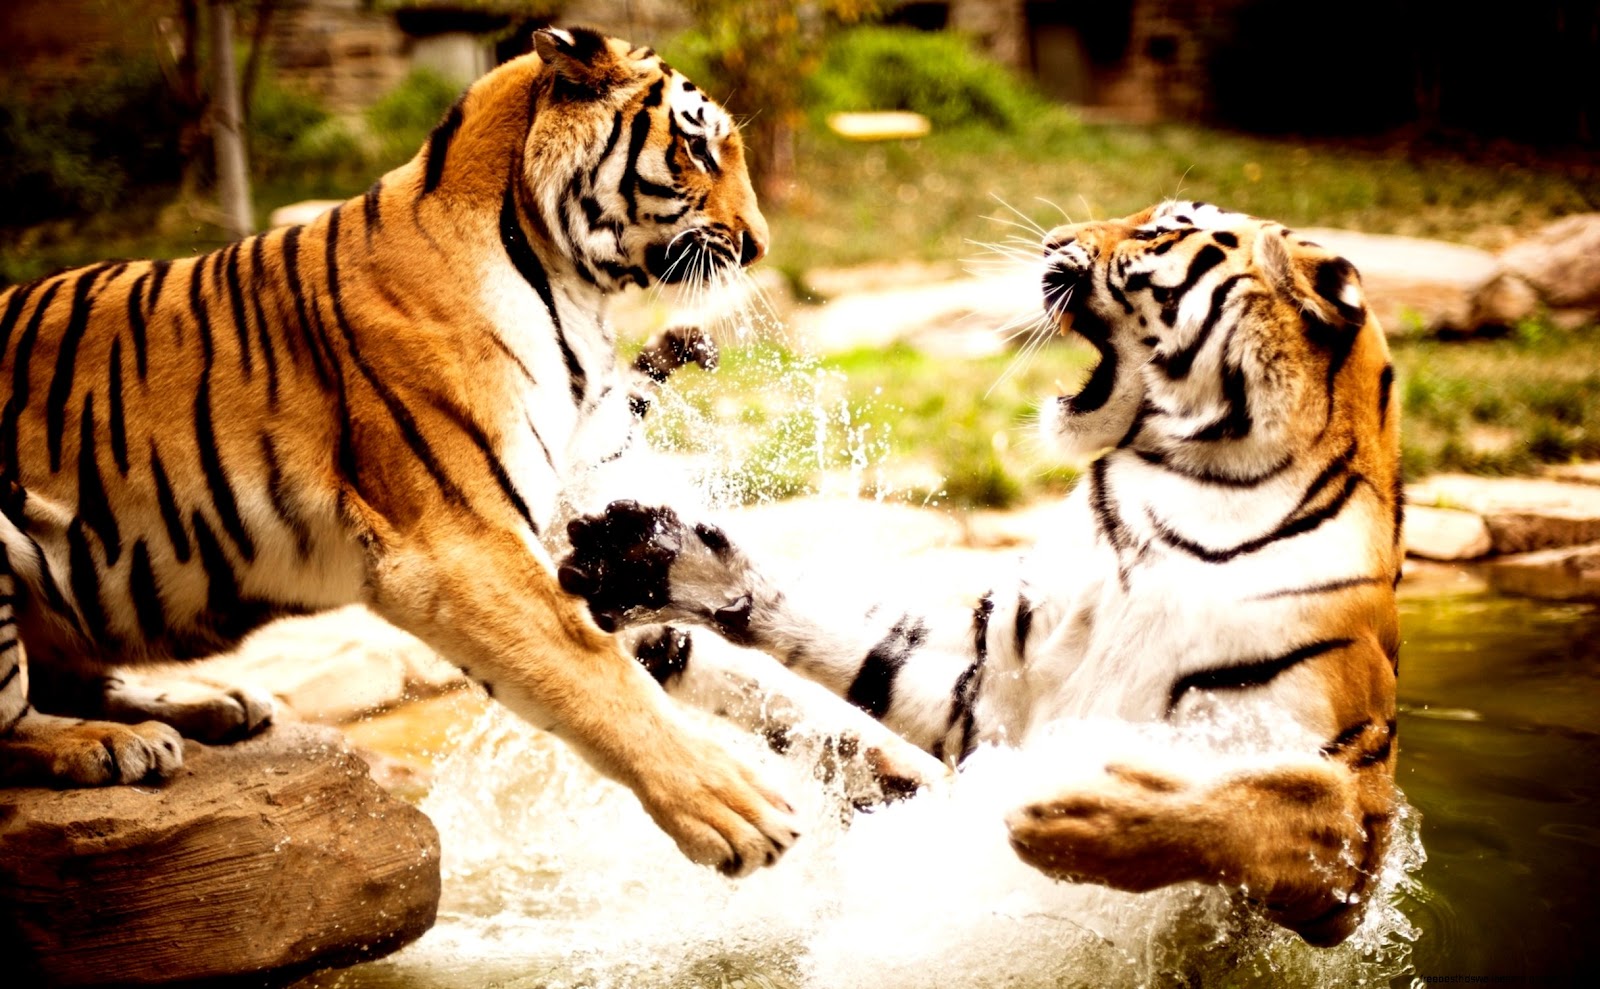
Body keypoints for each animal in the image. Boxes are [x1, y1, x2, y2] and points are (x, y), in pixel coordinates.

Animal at [0, 26, 801, 878]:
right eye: (697, 147)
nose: (758, 245)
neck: (567, 280)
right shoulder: (458, 541)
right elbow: (592, 669)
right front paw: (738, 810)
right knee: (14, 718)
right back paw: (111, 744)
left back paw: (214, 705)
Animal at [557, 200, 1406, 944]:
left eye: (1162, 228)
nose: (1053, 241)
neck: (1185, 494)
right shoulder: (991, 687)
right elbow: (848, 636)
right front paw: (654, 557)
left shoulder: (1351, 837)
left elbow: (1254, 802)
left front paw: (1076, 815)